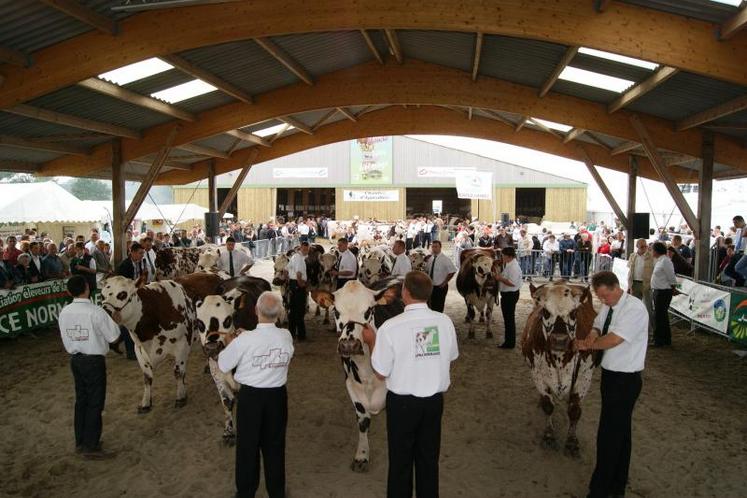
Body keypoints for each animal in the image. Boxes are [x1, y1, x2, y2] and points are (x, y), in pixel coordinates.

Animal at [101, 274, 196, 414]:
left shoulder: (182, 344)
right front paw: (145, 403)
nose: (104, 312)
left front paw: (180, 397)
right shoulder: (139, 349)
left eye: (122, 294)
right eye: (102, 295)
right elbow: (147, 377)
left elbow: (178, 372)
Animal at [310, 278, 404, 472]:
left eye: (368, 310)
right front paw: (362, 455)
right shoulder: (351, 384)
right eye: (336, 311)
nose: (349, 345)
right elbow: (362, 421)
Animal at [524, 282, 600, 458]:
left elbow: (574, 409)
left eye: (574, 312)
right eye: (545, 311)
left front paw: (572, 442)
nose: (559, 340)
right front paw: (549, 436)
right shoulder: (537, 373)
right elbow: (548, 405)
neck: (559, 360)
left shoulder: (584, 376)